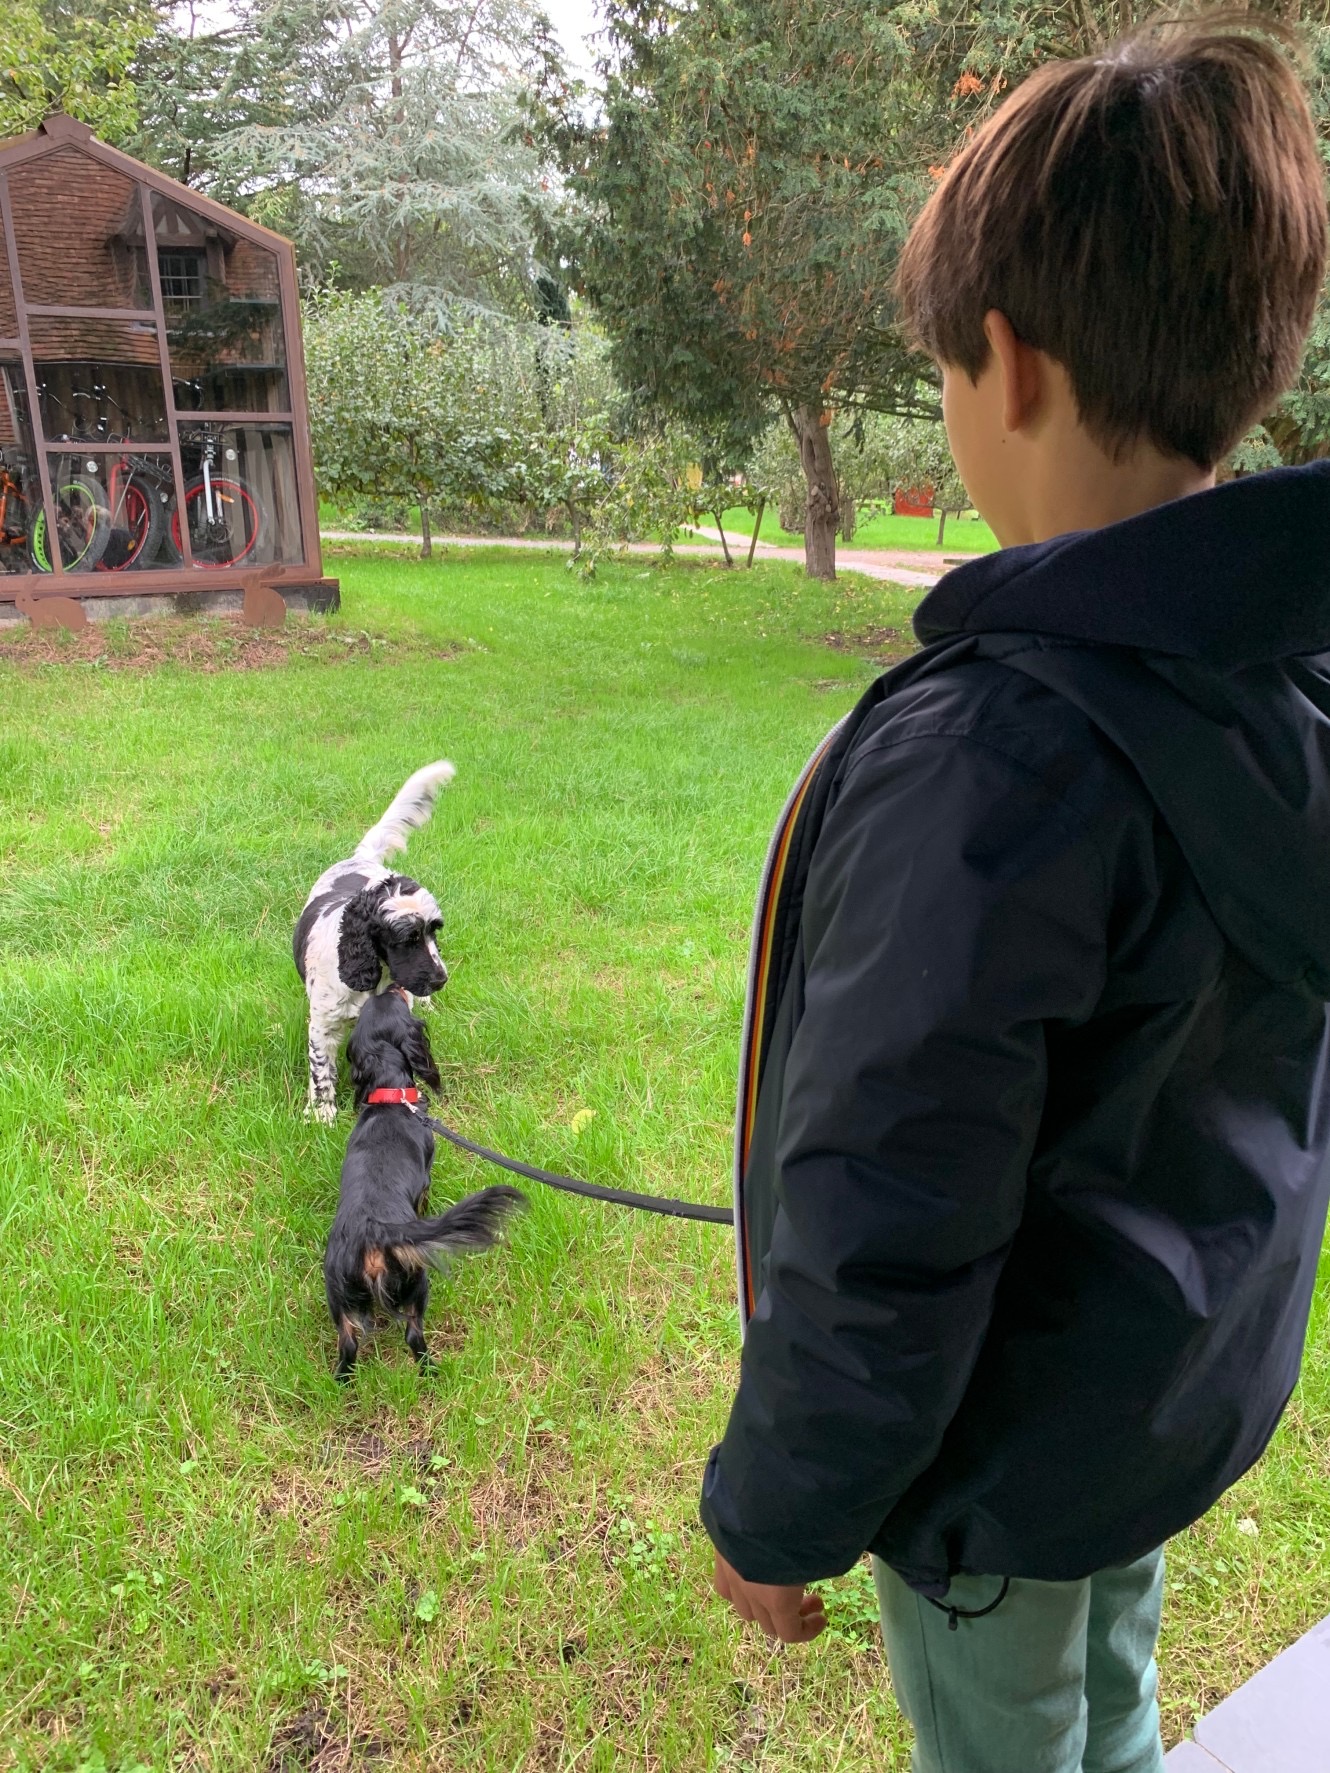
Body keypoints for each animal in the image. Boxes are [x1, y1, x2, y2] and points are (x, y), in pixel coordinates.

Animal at [292, 758, 457, 1120]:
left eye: (434, 930)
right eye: (407, 938)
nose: (441, 980)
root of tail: (361, 858)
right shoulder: (322, 1024)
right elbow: (321, 1070)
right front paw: (323, 1115)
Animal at [322, 992, 524, 1375]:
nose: (390, 989)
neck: (390, 1098)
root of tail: (373, 1231)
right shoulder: (426, 1178)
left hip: (339, 1299)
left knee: (347, 1346)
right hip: (417, 1283)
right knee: (414, 1335)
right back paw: (431, 1371)